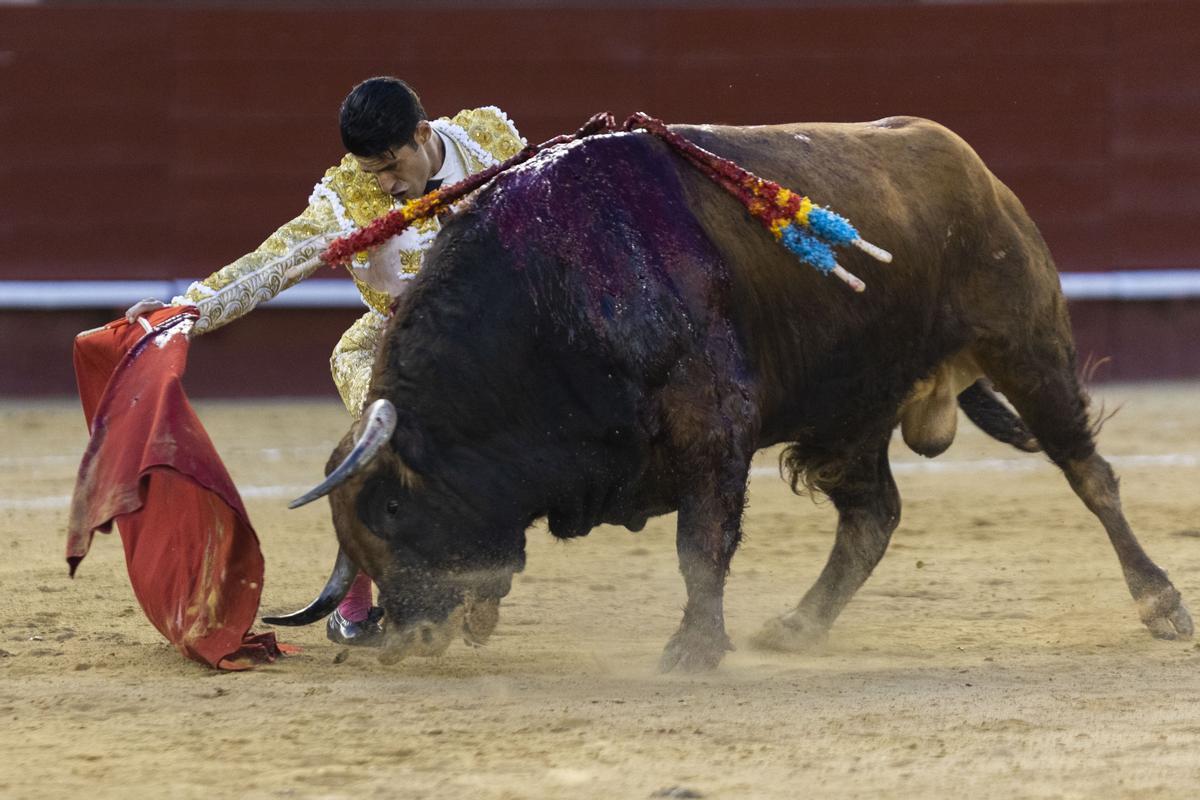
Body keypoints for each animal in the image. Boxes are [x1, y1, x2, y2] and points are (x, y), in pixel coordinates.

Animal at [262, 118, 1190, 671]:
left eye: (391, 509)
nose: (401, 642)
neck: (558, 288)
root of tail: (972, 166)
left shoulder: (714, 424)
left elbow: (700, 542)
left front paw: (692, 649)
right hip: (848, 407)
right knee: (874, 516)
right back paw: (800, 624)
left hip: (1026, 344)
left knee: (1089, 474)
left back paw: (1162, 603)